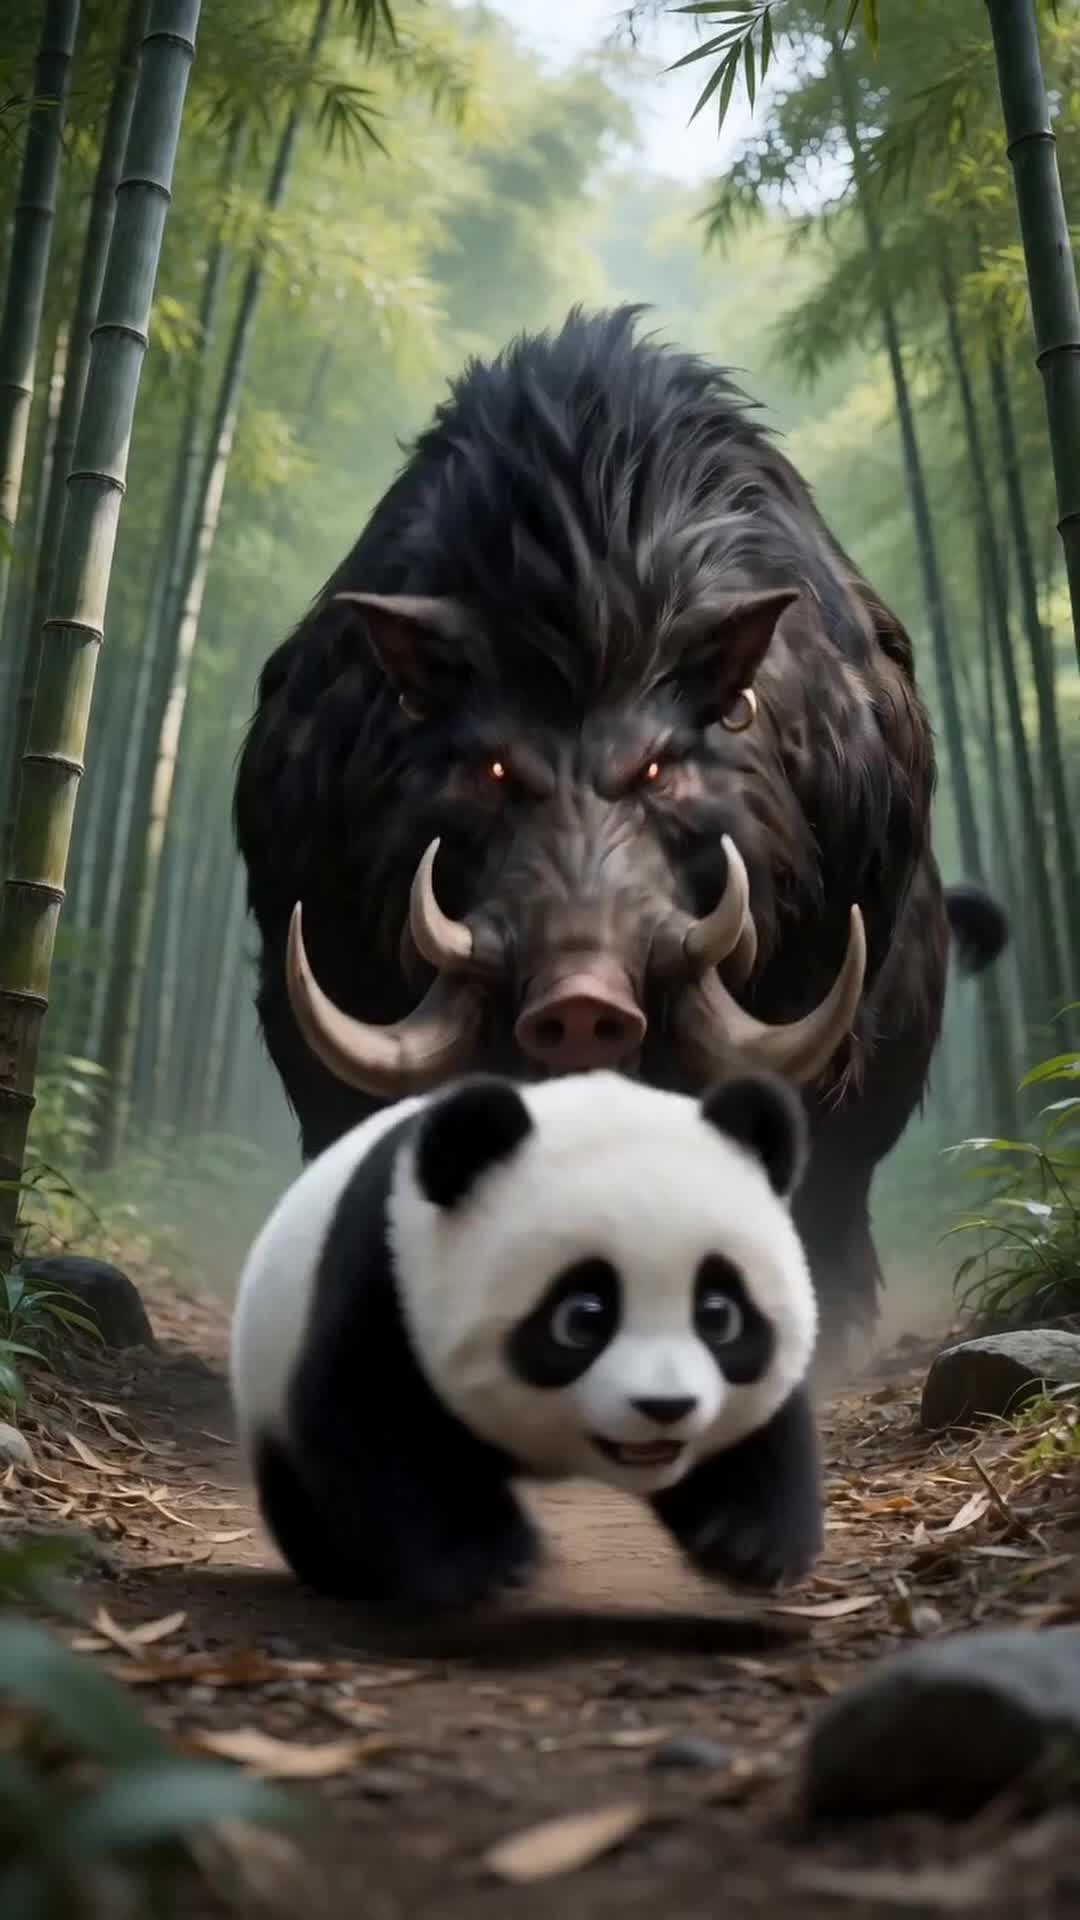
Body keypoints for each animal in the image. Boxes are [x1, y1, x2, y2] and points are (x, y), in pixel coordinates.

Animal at [229, 1067, 823, 1610]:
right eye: (581, 1320)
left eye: (719, 1316)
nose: (665, 1406)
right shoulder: (383, 1279)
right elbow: (377, 1421)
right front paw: (485, 1563)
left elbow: (762, 1436)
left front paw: (746, 1545)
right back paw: (347, 1575)